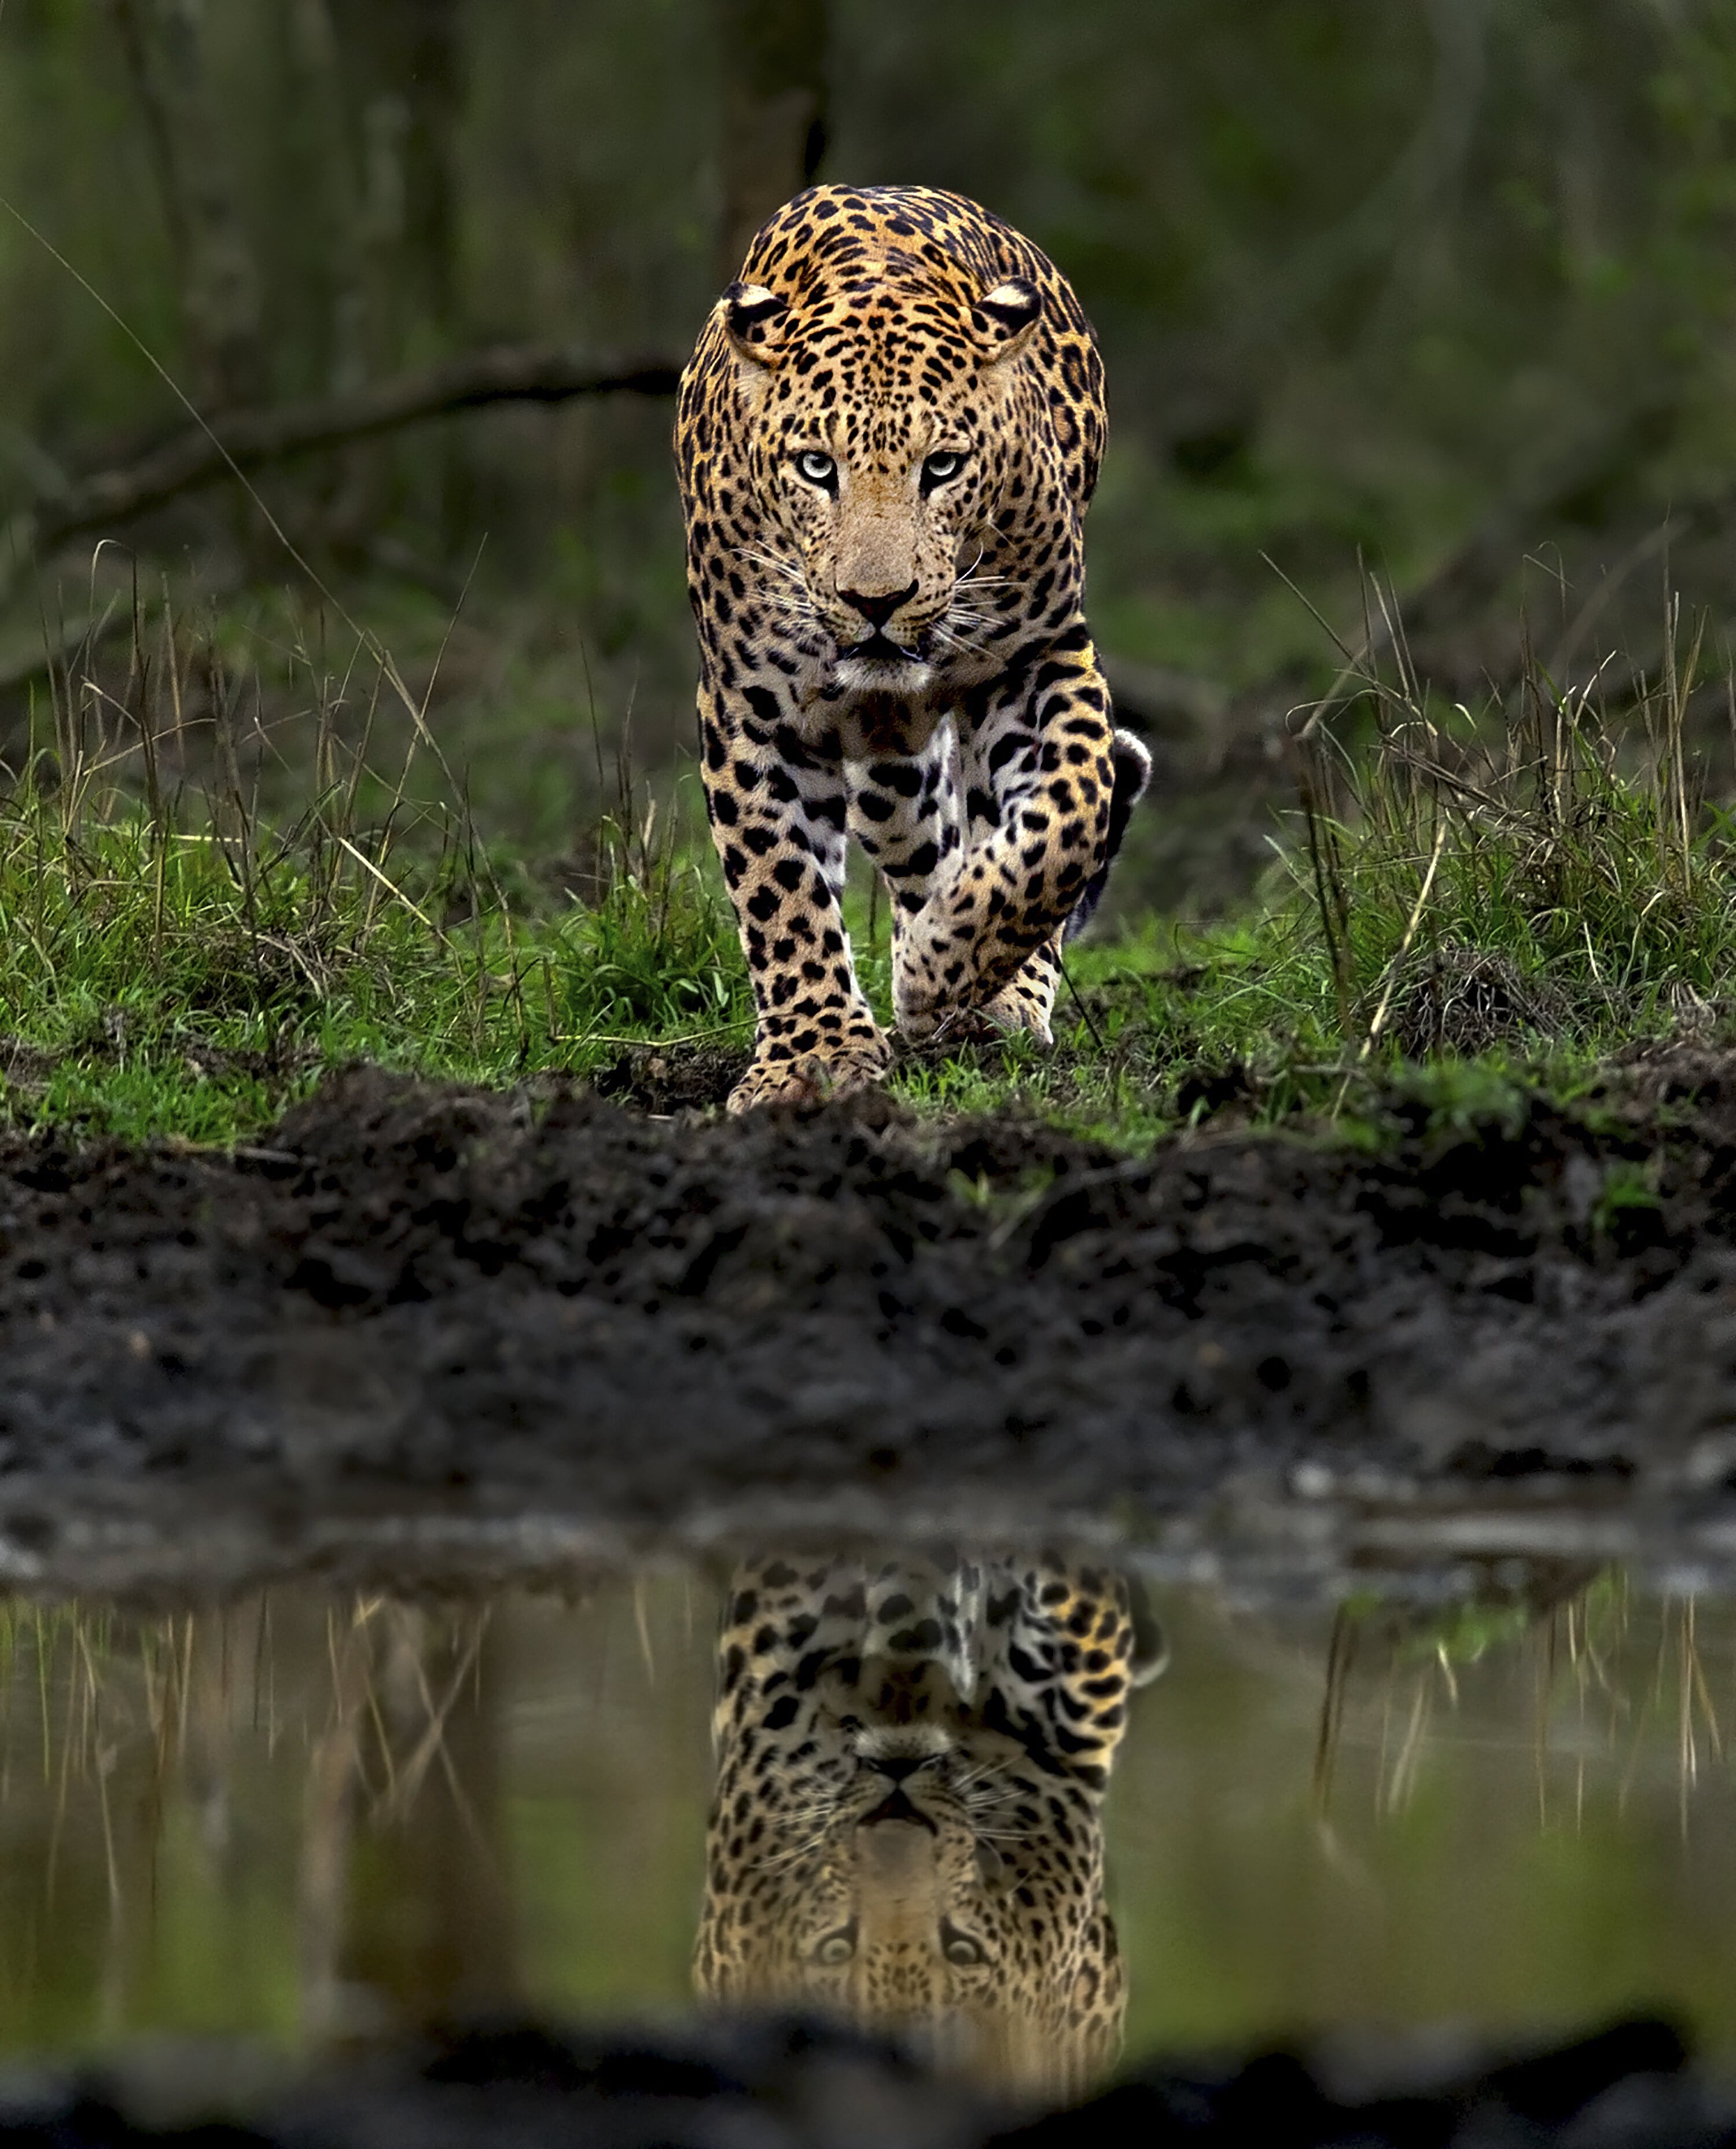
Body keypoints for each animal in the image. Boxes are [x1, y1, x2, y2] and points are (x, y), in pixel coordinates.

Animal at [679, 187, 1152, 1117]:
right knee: (917, 841)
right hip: (887, 768)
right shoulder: (750, 708)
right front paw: (813, 1057)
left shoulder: (1040, 656)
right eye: (815, 467)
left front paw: (945, 969)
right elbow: (780, 888)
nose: (876, 602)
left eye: (942, 467)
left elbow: (1070, 815)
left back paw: (989, 995)